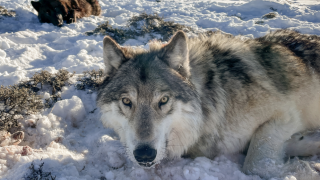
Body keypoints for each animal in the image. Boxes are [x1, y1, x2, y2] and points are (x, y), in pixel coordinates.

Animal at [97, 29, 320, 179]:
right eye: (127, 101)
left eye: (163, 100)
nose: (144, 154)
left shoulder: (285, 114)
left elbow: (256, 163)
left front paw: (307, 168)